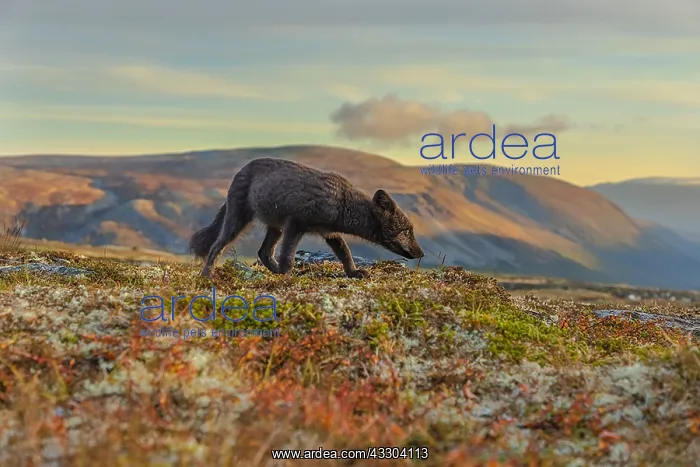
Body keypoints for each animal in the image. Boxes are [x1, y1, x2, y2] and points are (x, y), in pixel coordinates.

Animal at [189, 157, 424, 279]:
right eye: (407, 230)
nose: (421, 254)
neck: (342, 203)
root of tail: (240, 171)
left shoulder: (330, 233)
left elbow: (345, 253)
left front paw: (353, 272)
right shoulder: (296, 224)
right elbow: (289, 256)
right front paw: (287, 275)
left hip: (275, 227)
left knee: (263, 252)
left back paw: (274, 272)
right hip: (239, 220)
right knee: (217, 245)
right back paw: (206, 275)